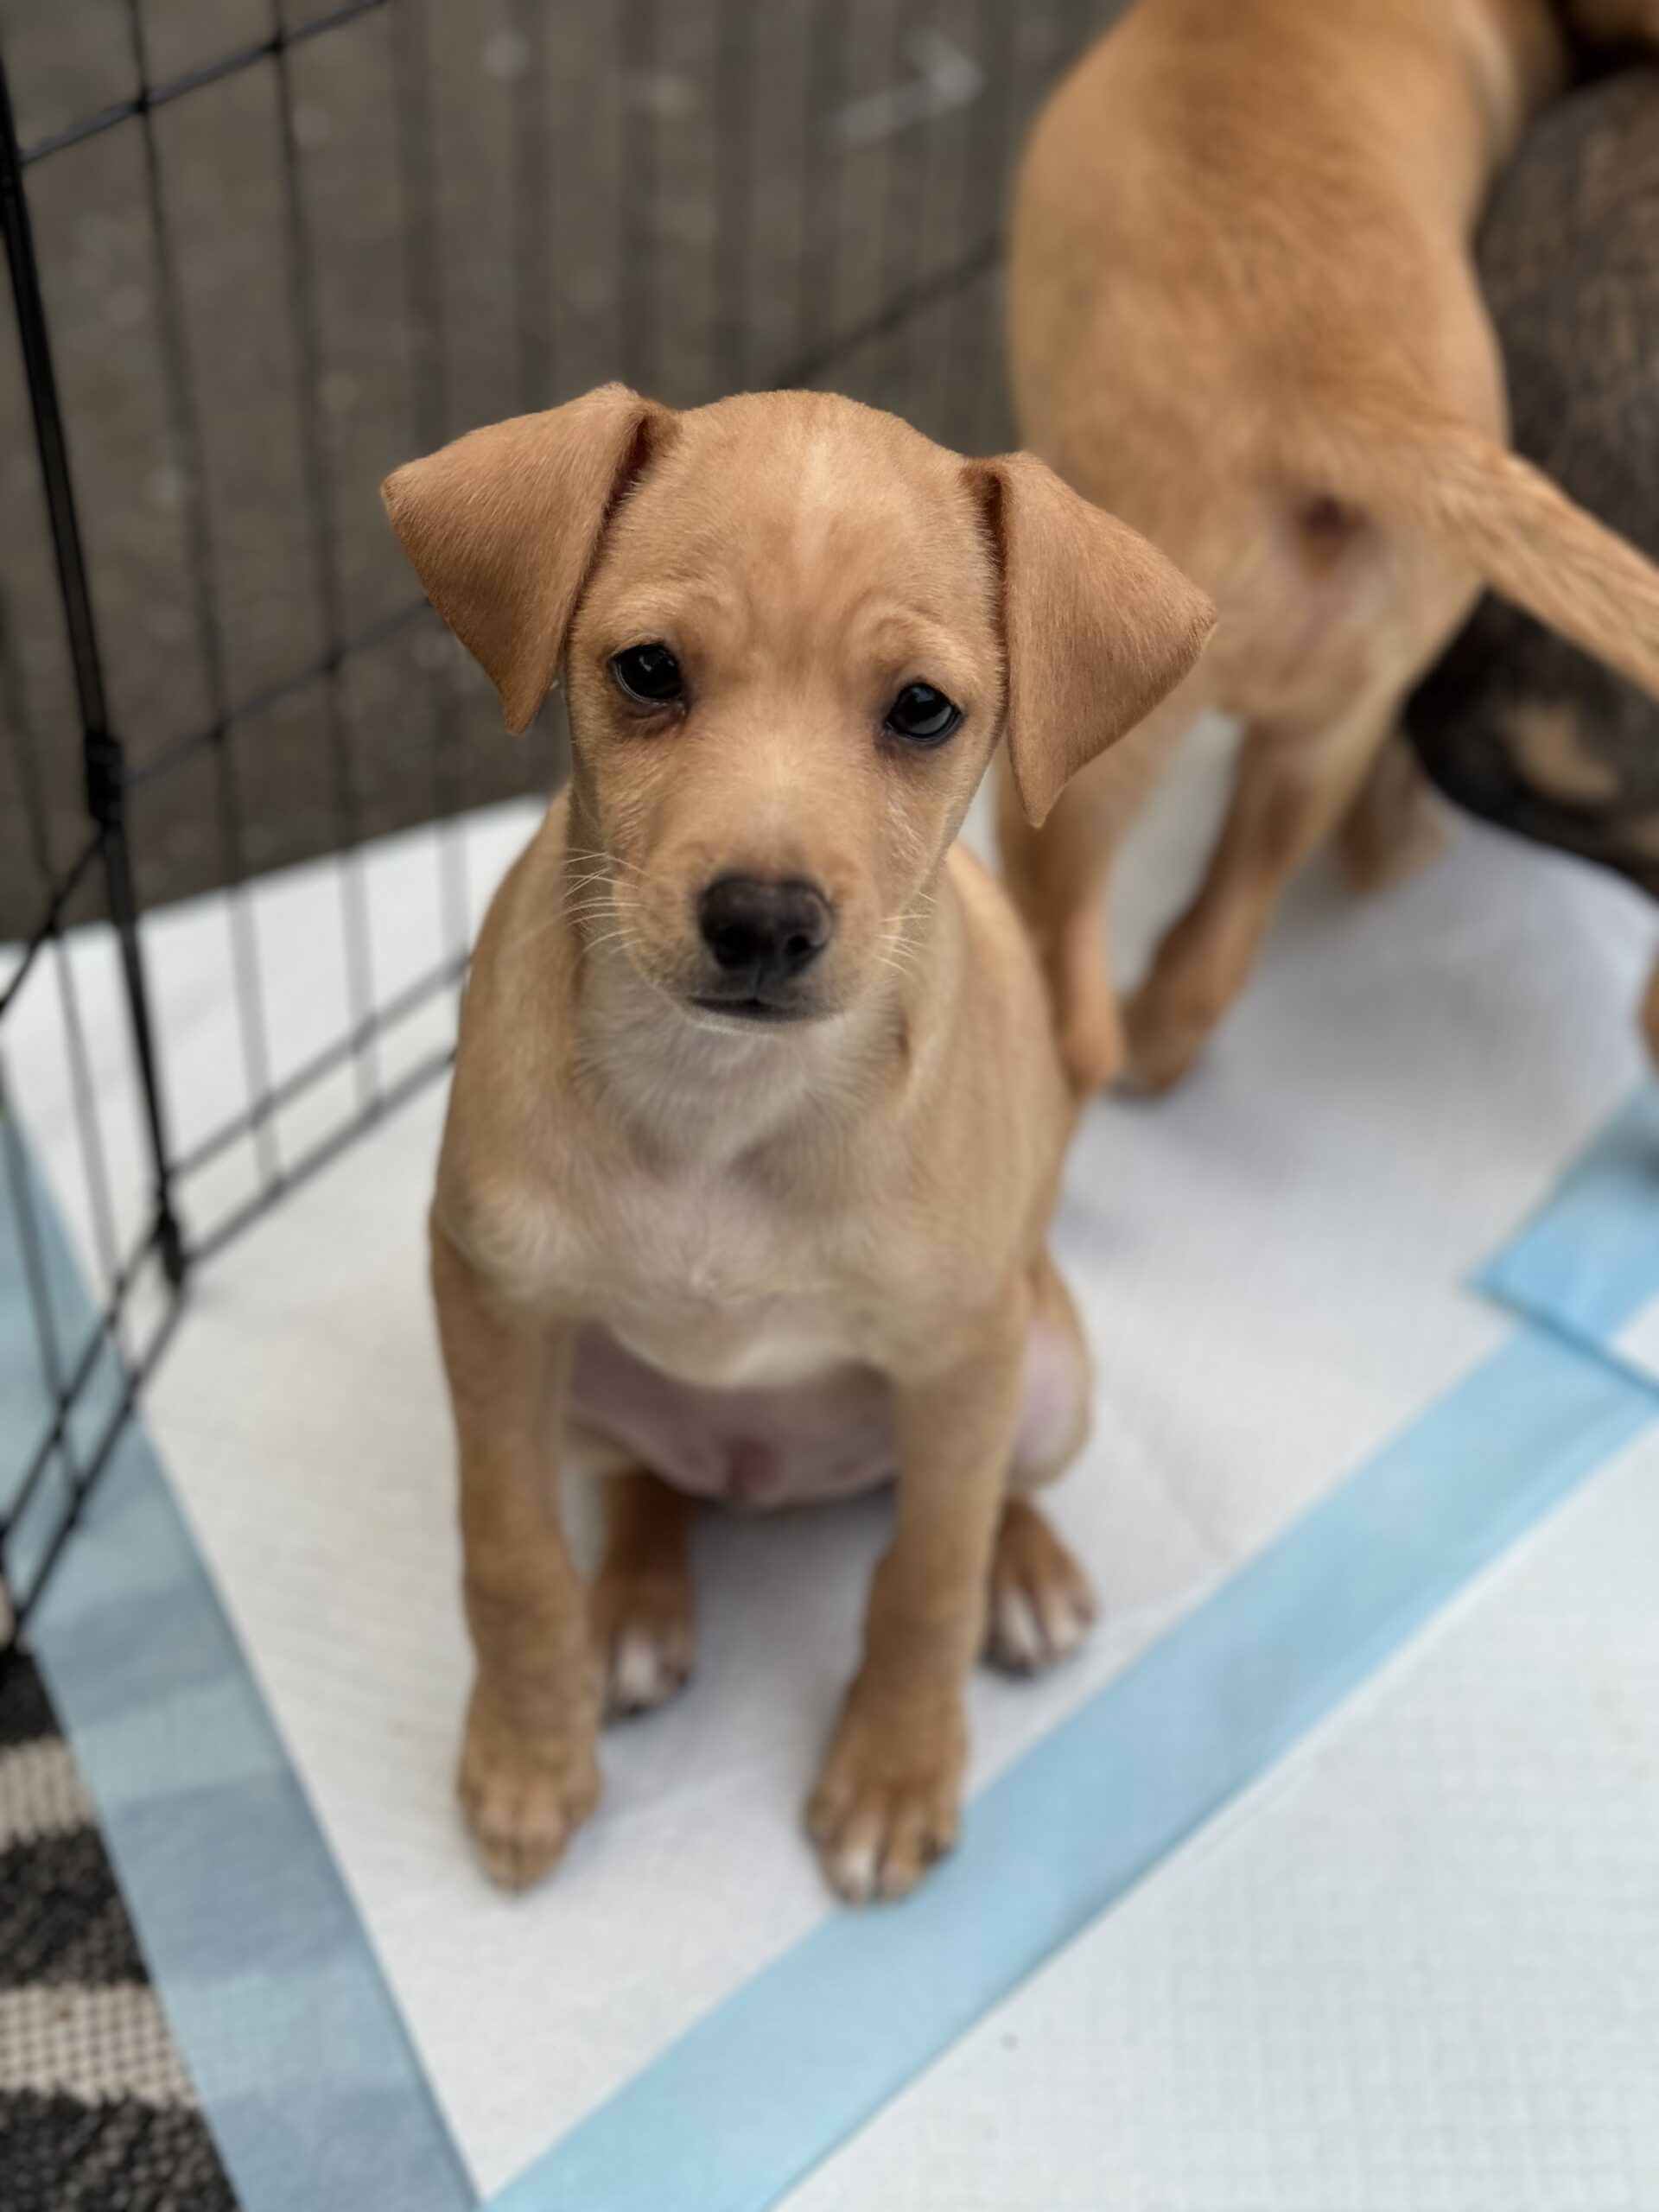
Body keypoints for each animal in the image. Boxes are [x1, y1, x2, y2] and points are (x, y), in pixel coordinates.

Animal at [389, 385, 1221, 1902]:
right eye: (648, 671)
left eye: (923, 709)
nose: (763, 921)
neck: (725, 1102)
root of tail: (766, 1478)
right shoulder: (491, 1304)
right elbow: (508, 1549)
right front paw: (529, 1757)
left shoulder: (957, 1356)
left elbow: (925, 1575)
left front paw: (893, 1772)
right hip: (588, 1388)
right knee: (652, 1483)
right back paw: (634, 1603)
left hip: (1043, 1366)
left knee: (990, 1492)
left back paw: (1026, 1573)